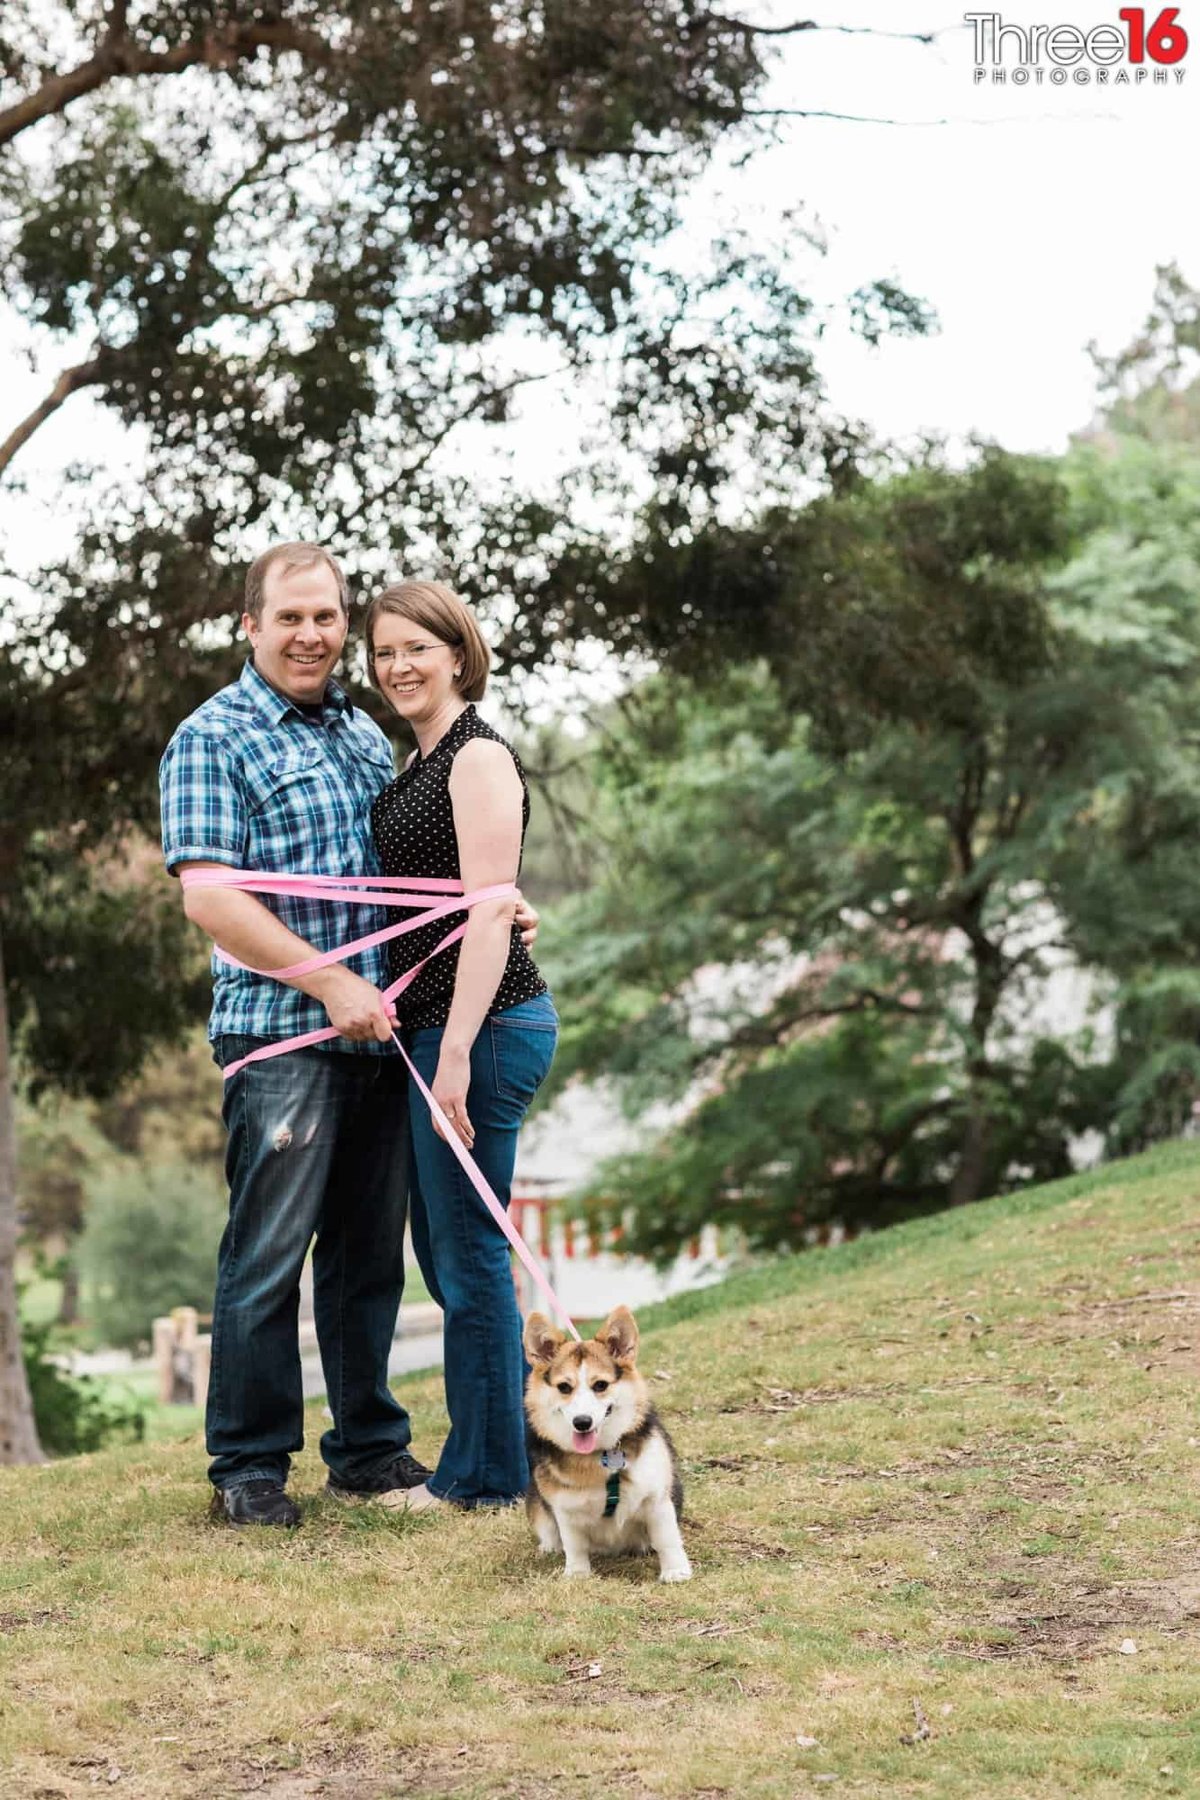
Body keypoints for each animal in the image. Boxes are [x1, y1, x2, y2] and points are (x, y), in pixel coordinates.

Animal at [518, 1310, 690, 1576]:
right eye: (564, 1387)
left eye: (600, 1385)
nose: (582, 1422)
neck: (601, 1454)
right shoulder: (564, 1508)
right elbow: (574, 1543)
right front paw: (577, 1574)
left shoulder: (656, 1498)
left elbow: (666, 1538)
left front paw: (676, 1571)